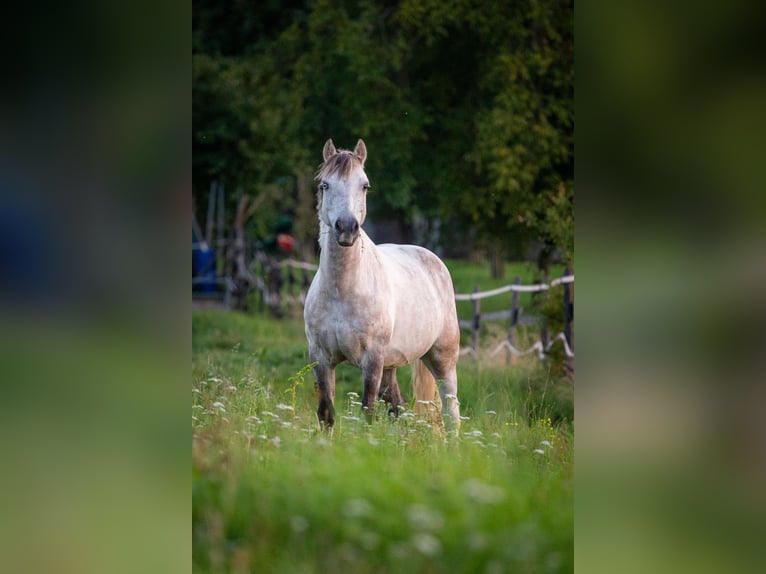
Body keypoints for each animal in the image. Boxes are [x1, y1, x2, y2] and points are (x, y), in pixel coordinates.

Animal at [303, 138, 461, 433]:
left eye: (364, 185)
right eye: (325, 185)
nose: (347, 227)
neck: (342, 291)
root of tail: (433, 261)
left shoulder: (372, 360)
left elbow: (367, 411)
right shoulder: (321, 358)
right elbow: (326, 413)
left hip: (442, 359)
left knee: (451, 412)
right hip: (391, 365)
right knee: (397, 406)